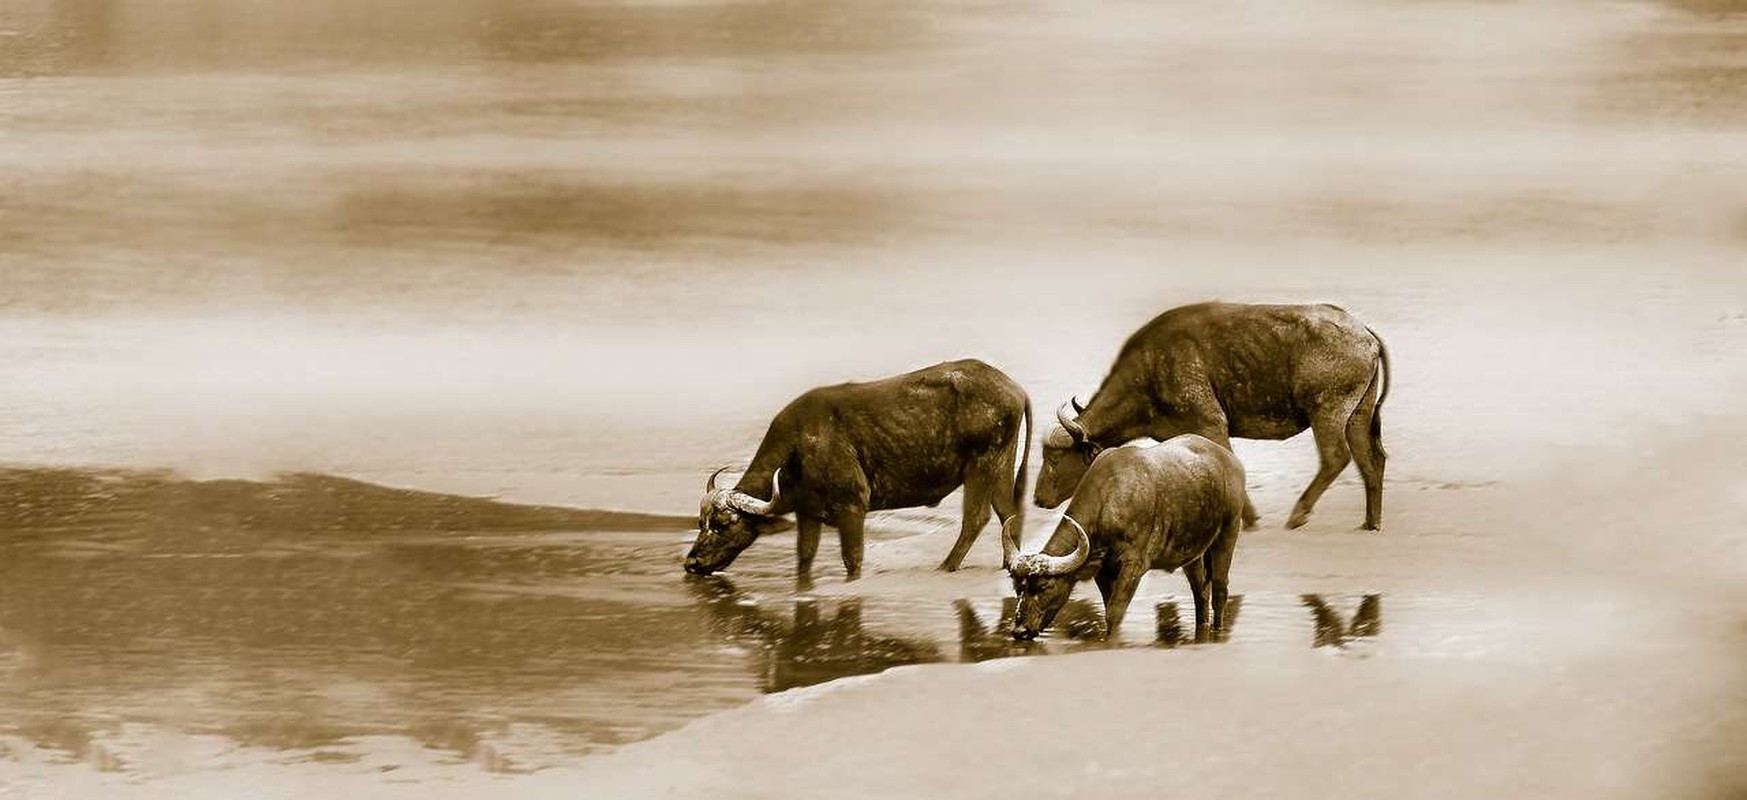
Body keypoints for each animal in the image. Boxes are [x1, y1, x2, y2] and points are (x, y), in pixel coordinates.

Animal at [684, 359, 1034, 576]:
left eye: (723, 525)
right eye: (701, 523)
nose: (691, 563)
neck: (801, 447)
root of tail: (1015, 389)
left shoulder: (853, 508)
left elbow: (852, 560)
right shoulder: (807, 514)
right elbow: (805, 558)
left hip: (981, 466)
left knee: (976, 517)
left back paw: (946, 566)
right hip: (1000, 467)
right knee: (1008, 512)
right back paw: (1008, 565)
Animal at [1006, 434, 1250, 639]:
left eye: (1044, 587)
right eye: (1018, 588)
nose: (1020, 630)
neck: (1108, 501)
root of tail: (1232, 463)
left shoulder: (1134, 565)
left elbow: (1114, 612)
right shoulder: (1103, 570)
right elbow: (1108, 606)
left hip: (1228, 531)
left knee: (1219, 588)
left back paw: (1218, 631)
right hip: (1193, 553)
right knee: (1200, 592)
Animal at [1034, 300, 1390, 531]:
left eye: (1053, 459)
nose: (1037, 499)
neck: (1150, 369)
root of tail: (1364, 333)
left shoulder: (1211, 424)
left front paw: (1249, 519)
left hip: (1326, 413)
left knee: (1336, 457)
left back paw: (1298, 515)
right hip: (1358, 415)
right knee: (1371, 459)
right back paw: (1371, 522)